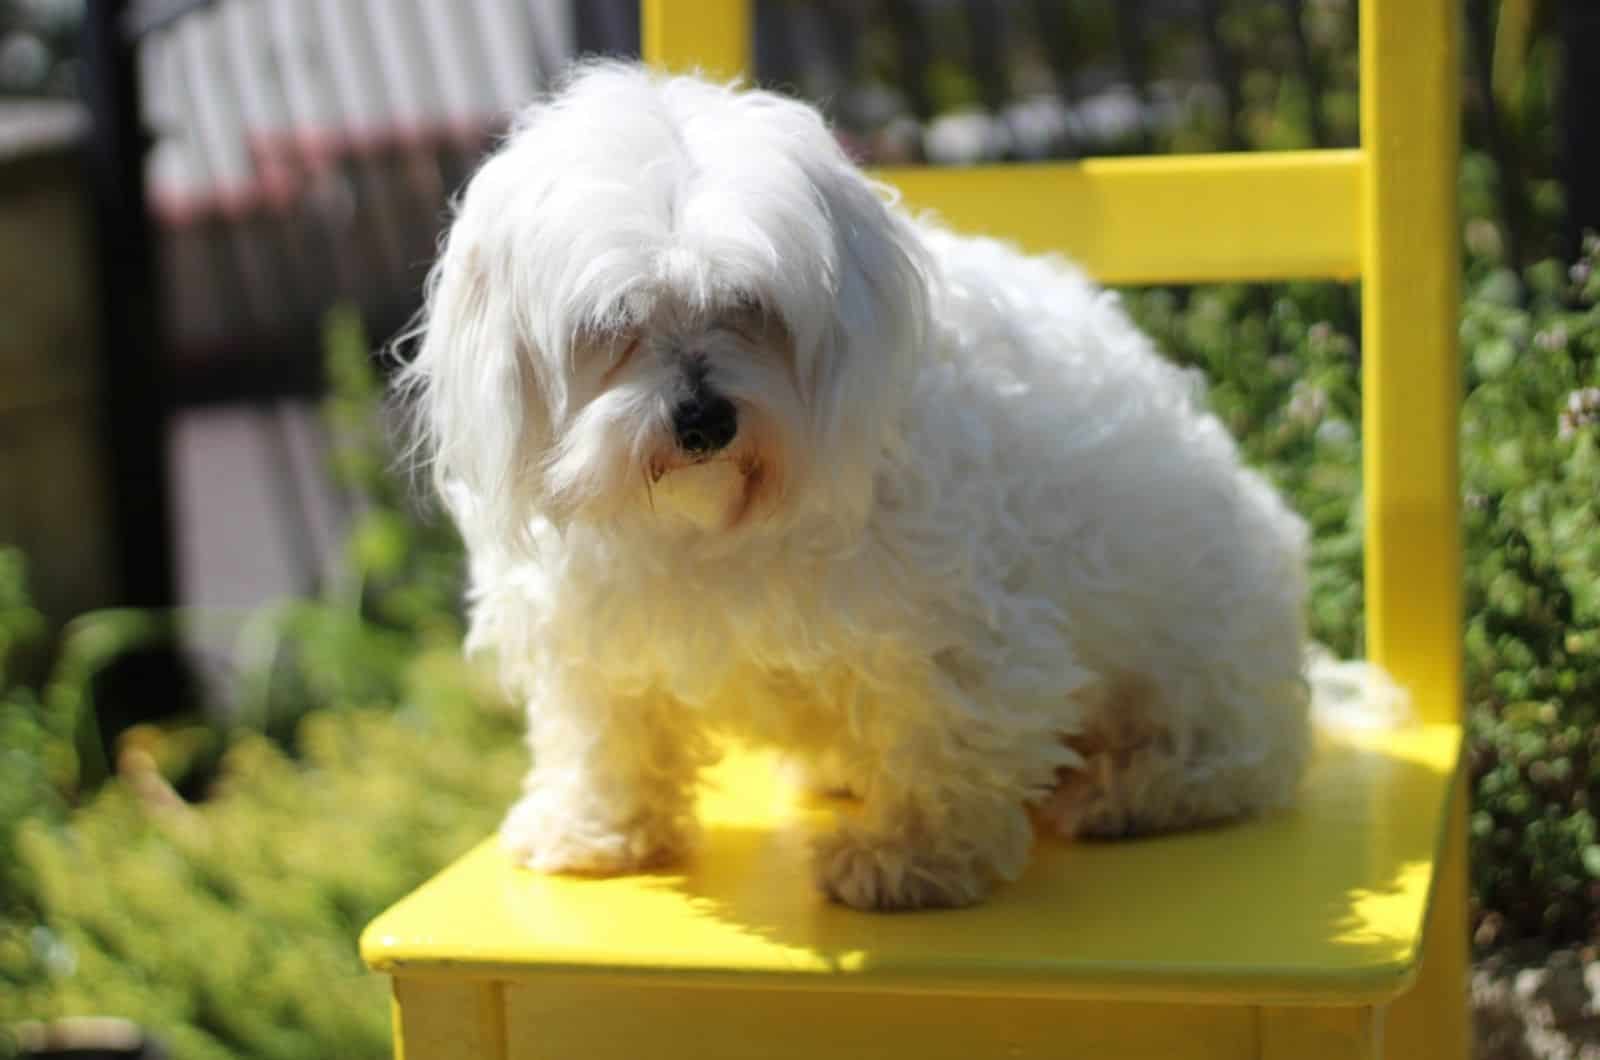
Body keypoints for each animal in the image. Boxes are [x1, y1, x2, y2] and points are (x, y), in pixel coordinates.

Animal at [403, 64, 1324, 915]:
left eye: (748, 304)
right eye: (612, 324)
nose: (703, 419)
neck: (709, 523)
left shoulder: (957, 629)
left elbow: (946, 738)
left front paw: (910, 859)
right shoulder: (594, 634)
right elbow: (606, 732)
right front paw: (597, 830)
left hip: (1204, 659)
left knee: (1241, 758)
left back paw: (1132, 790)